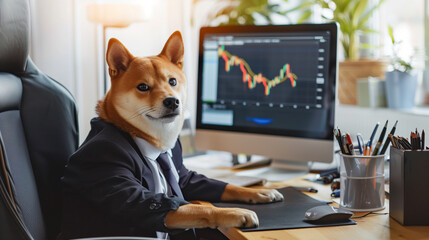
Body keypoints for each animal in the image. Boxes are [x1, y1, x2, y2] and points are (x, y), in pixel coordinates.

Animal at [94, 30, 280, 231]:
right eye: (142, 87)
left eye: (172, 81)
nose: (172, 101)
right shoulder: (125, 181)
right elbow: (199, 208)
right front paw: (234, 212)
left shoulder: (183, 175)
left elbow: (221, 185)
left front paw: (259, 192)